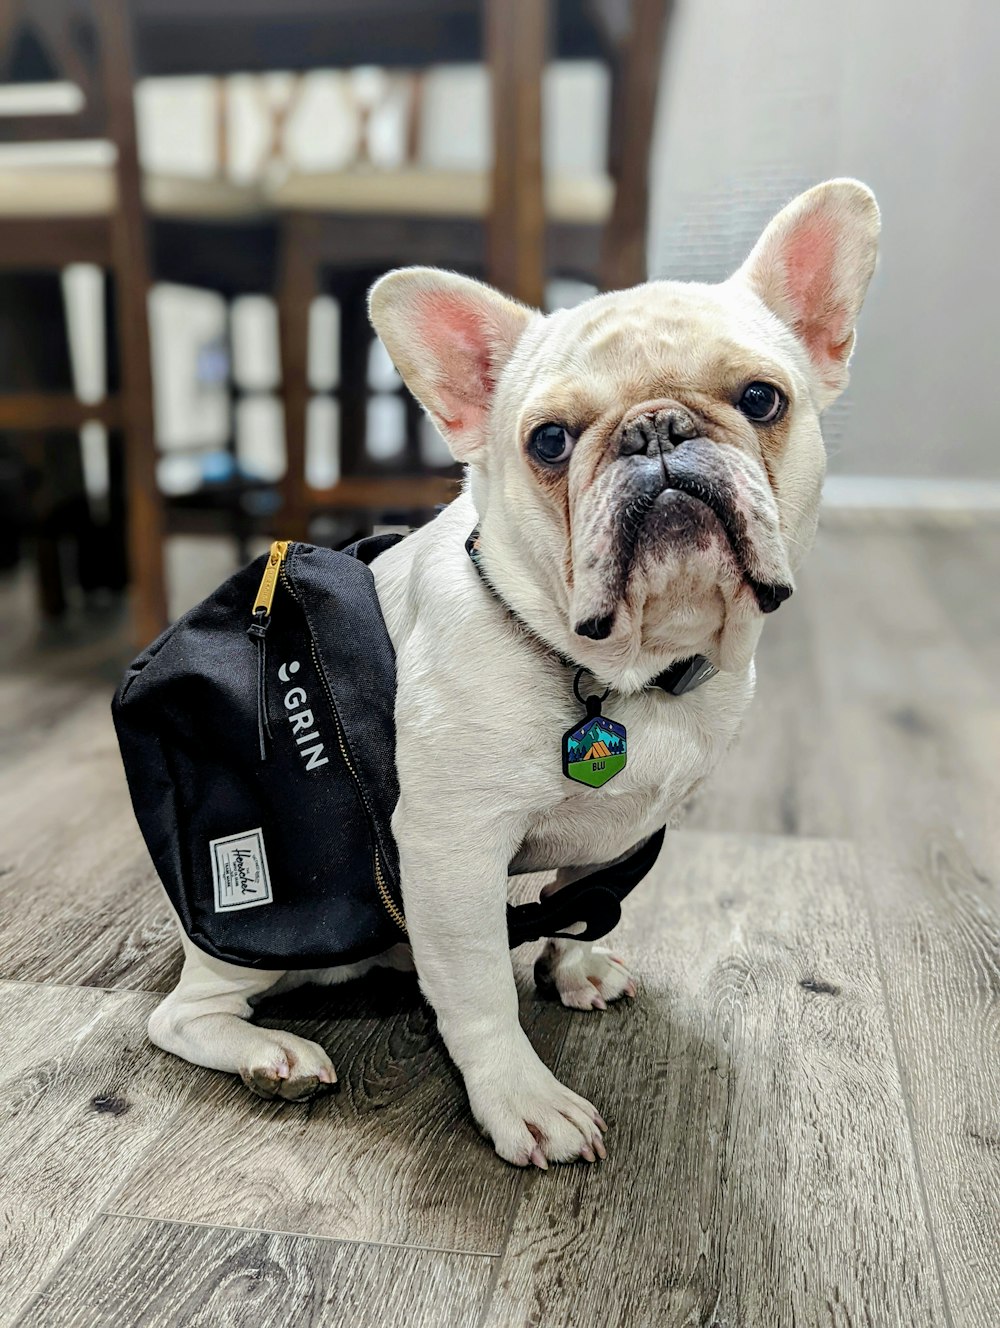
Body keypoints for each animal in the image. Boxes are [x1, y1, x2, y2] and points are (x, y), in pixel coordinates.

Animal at [146, 181, 871, 1168]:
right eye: (552, 442)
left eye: (763, 399)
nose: (656, 428)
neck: (625, 671)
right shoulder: (450, 846)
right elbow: (482, 986)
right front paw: (520, 1096)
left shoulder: (620, 827)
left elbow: (580, 900)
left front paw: (576, 965)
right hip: (264, 938)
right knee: (181, 1016)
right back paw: (270, 1055)